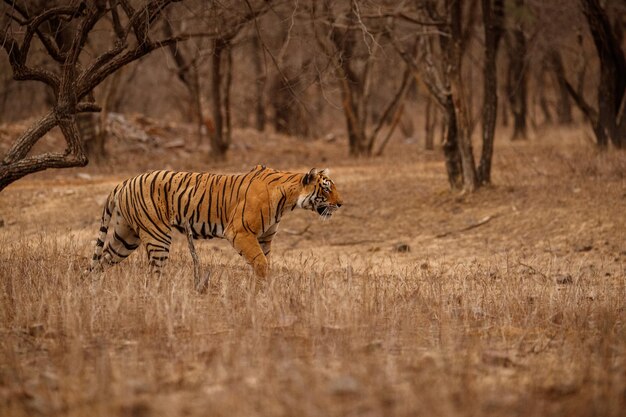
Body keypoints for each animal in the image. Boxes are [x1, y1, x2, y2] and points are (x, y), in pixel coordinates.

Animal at [89, 166, 342, 280]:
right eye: (326, 188)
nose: (341, 204)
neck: (288, 199)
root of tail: (123, 182)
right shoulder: (240, 232)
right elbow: (261, 263)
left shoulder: (264, 238)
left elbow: (264, 262)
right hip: (157, 235)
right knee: (153, 273)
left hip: (125, 236)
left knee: (102, 260)